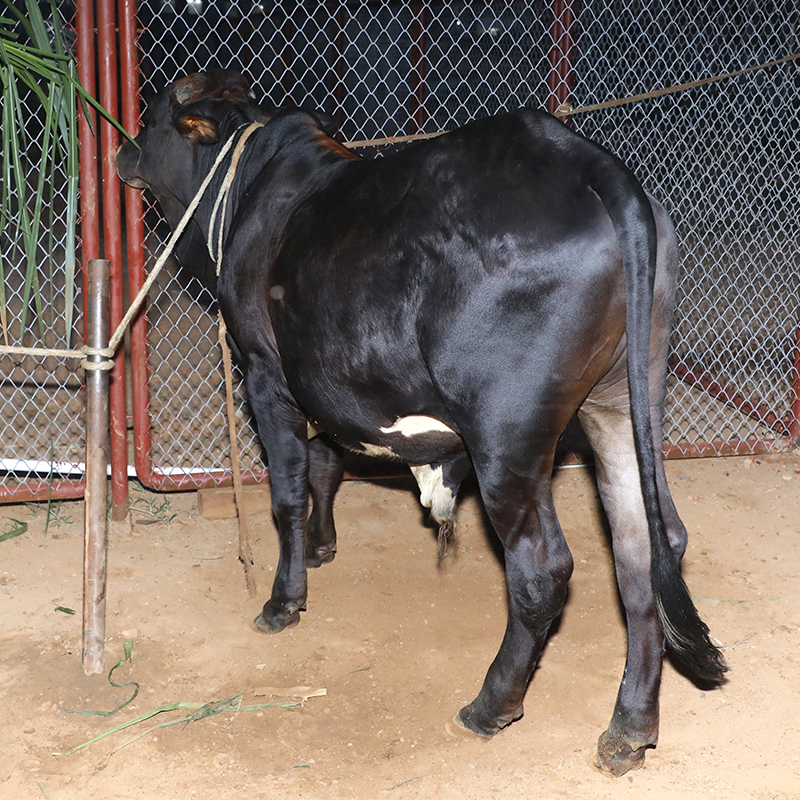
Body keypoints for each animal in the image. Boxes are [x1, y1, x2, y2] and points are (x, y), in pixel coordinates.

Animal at [117, 69, 726, 776]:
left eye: (153, 119)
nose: (122, 151)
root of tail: (585, 161)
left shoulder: (267, 373)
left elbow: (288, 492)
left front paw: (283, 600)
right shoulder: (321, 378)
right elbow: (326, 464)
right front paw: (323, 547)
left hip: (507, 437)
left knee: (543, 570)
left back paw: (491, 705)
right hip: (623, 401)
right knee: (645, 549)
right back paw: (629, 727)